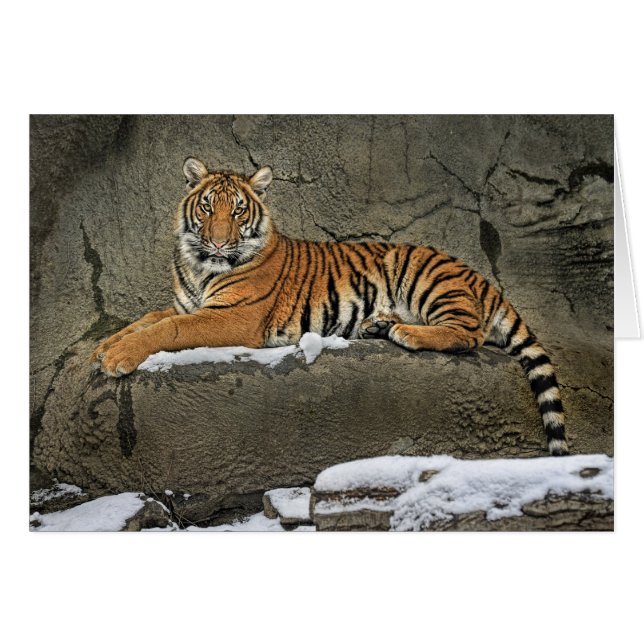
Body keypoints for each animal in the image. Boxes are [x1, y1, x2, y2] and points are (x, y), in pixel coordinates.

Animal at [92, 157, 569, 456]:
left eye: (239, 211)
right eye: (208, 207)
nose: (220, 243)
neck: (199, 265)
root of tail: (482, 278)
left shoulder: (232, 316)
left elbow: (166, 330)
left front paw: (115, 357)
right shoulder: (185, 305)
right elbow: (148, 318)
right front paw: (104, 347)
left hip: (423, 274)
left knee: (469, 333)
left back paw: (404, 332)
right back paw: (378, 325)